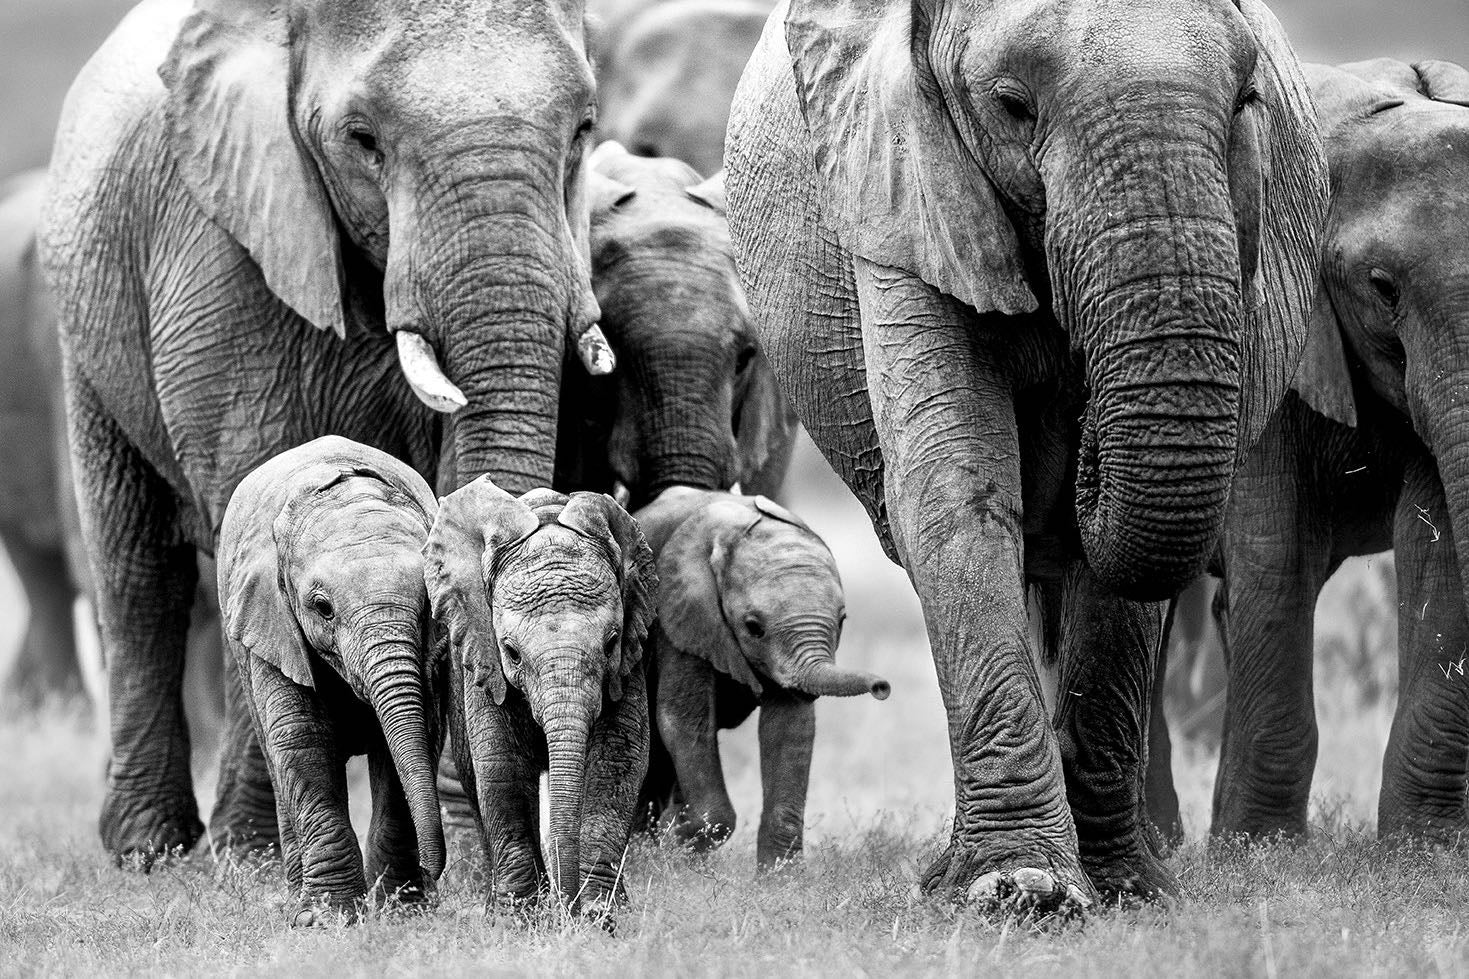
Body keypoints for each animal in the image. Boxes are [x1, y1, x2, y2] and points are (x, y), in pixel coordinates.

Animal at [40, 0, 612, 865]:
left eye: (582, 128)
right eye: (362, 138)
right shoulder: (220, 253)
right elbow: (254, 485)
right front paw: (247, 855)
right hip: (86, 329)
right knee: (137, 577)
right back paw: (150, 849)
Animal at [217, 436, 444, 924]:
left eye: (427, 603)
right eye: (322, 608)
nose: (436, 871)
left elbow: (412, 742)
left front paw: (402, 913)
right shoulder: (271, 619)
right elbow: (302, 741)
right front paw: (323, 920)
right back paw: (295, 897)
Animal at [424, 478, 656, 917]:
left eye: (612, 643)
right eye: (511, 652)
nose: (567, 909)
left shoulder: (629, 665)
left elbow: (617, 760)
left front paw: (599, 916)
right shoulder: (482, 657)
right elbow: (503, 768)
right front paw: (519, 918)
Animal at [634, 486, 889, 869]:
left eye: (843, 619)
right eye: (753, 627)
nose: (882, 687)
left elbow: (789, 727)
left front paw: (780, 878)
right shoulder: (678, 616)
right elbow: (683, 720)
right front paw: (674, 841)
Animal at [724, 0, 1327, 911]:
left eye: (1245, 102)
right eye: (1012, 105)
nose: (1081, 442)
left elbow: (1112, 578)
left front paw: (1122, 887)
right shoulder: (902, 192)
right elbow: (955, 490)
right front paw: (1017, 888)